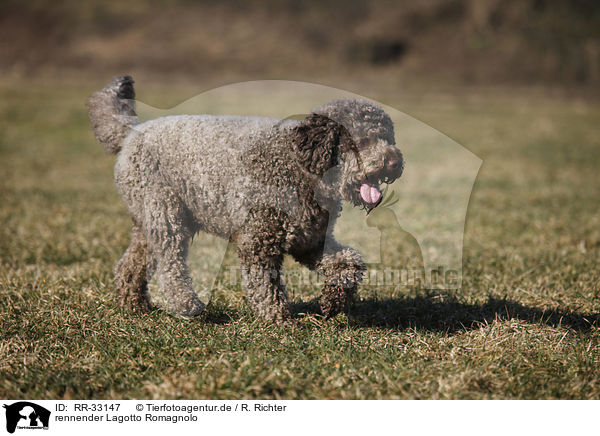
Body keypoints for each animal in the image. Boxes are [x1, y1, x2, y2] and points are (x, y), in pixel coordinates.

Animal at [86, 76, 404, 324]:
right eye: (361, 141)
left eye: (389, 137)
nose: (394, 162)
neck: (301, 167)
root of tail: (132, 131)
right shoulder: (259, 241)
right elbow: (266, 286)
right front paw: (279, 320)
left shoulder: (311, 241)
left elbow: (350, 263)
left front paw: (334, 301)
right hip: (166, 213)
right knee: (170, 263)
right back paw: (186, 304)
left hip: (148, 219)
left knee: (132, 263)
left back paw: (133, 304)